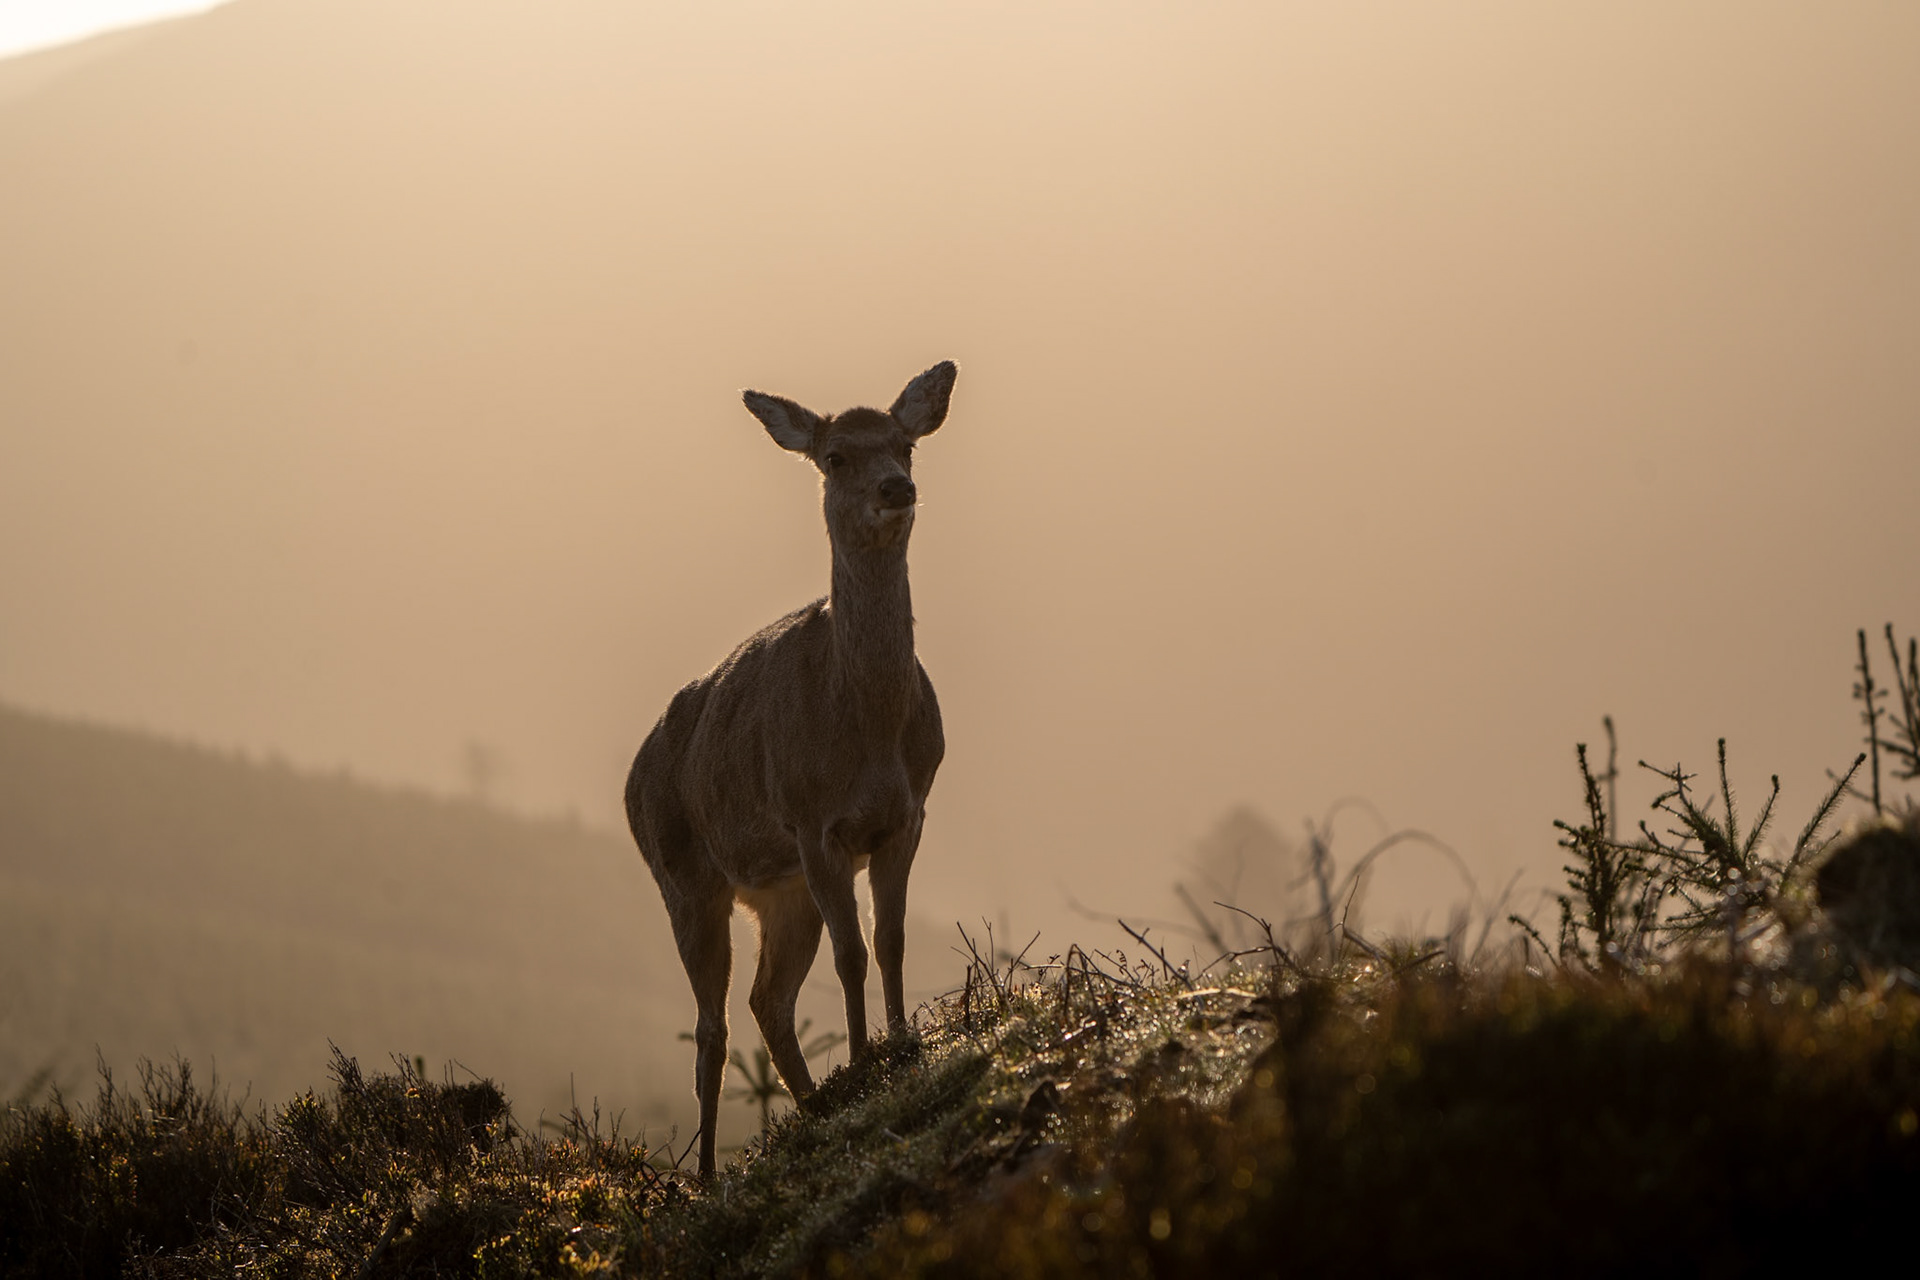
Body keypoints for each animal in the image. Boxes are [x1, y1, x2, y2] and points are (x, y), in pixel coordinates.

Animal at [624, 361, 956, 1178]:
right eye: (834, 456)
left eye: (905, 443)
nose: (896, 487)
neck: (868, 732)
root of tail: (630, 776)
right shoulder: (813, 824)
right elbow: (852, 952)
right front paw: (867, 1061)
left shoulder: (909, 814)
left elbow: (891, 938)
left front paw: (900, 1048)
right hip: (683, 876)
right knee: (711, 1027)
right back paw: (707, 1175)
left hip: (778, 892)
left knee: (765, 1001)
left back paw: (810, 1108)